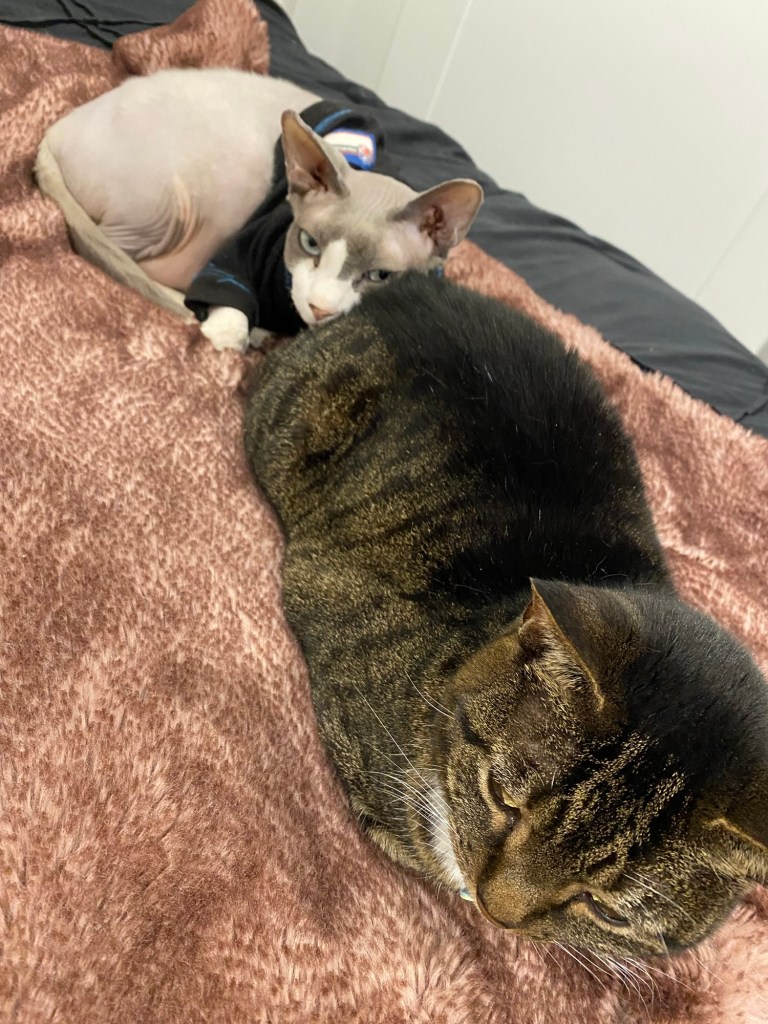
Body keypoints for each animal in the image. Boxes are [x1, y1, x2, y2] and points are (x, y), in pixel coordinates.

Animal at [42, 67, 483, 351]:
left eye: (379, 276)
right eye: (309, 243)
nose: (321, 308)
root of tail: (57, 128)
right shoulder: (238, 255)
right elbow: (229, 309)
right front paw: (234, 330)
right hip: (172, 203)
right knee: (110, 254)